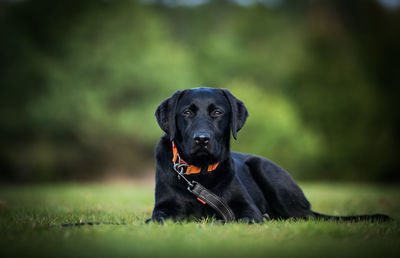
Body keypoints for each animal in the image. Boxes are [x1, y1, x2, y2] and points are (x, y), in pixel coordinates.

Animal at [148, 87, 390, 223]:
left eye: (217, 112)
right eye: (187, 112)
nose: (202, 139)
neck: (200, 174)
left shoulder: (246, 208)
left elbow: (236, 219)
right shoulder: (164, 207)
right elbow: (158, 220)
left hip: (267, 172)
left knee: (307, 217)